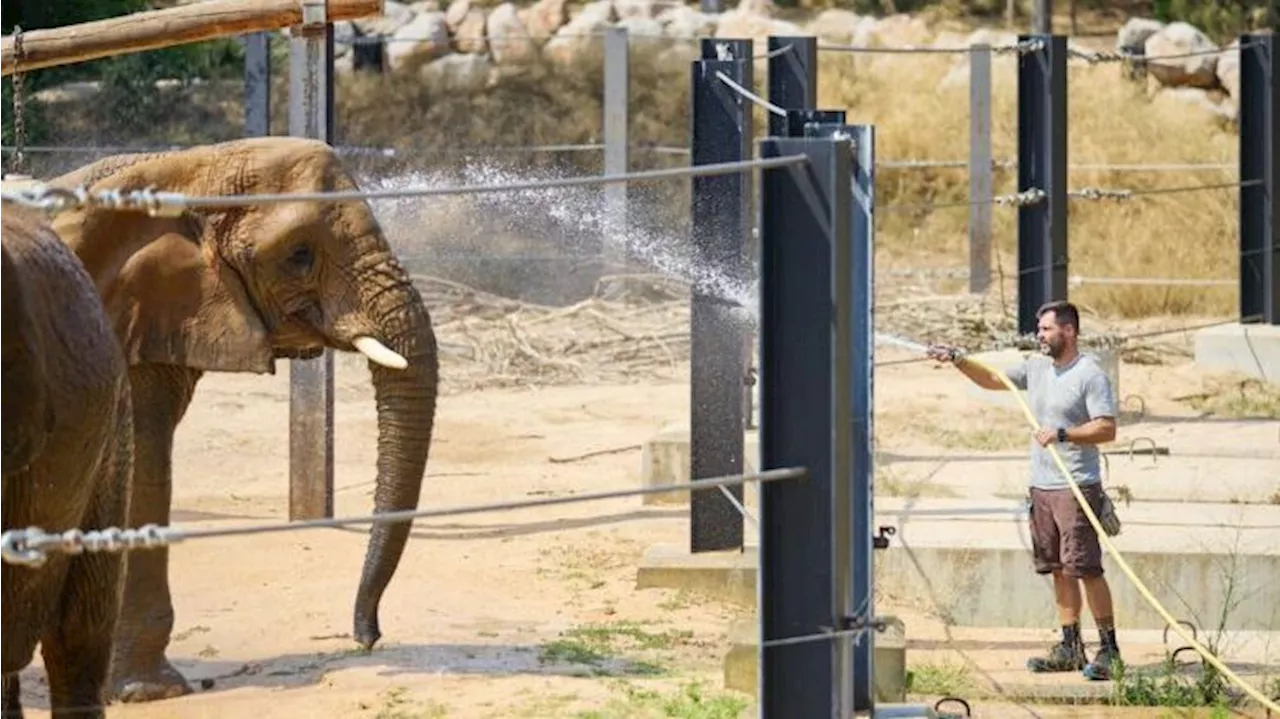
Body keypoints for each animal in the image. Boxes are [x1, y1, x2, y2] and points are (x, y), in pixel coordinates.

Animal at [42, 135, 442, 701]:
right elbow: (139, 468)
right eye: (299, 256)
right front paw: (151, 693)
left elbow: (146, 462)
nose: (367, 638)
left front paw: (142, 689)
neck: (188, 168)